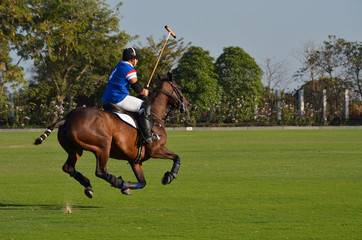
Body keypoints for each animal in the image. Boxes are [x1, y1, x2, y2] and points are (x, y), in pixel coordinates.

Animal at [34, 72, 189, 197]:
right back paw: (118, 183)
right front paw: (169, 176)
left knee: (68, 167)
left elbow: (143, 182)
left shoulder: (135, 160)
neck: (155, 117)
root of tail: (67, 118)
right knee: (100, 171)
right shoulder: (156, 149)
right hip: (103, 146)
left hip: (75, 149)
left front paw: (128, 186)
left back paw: (89, 186)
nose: (186, 105)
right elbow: (177, 157)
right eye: (179, 88)